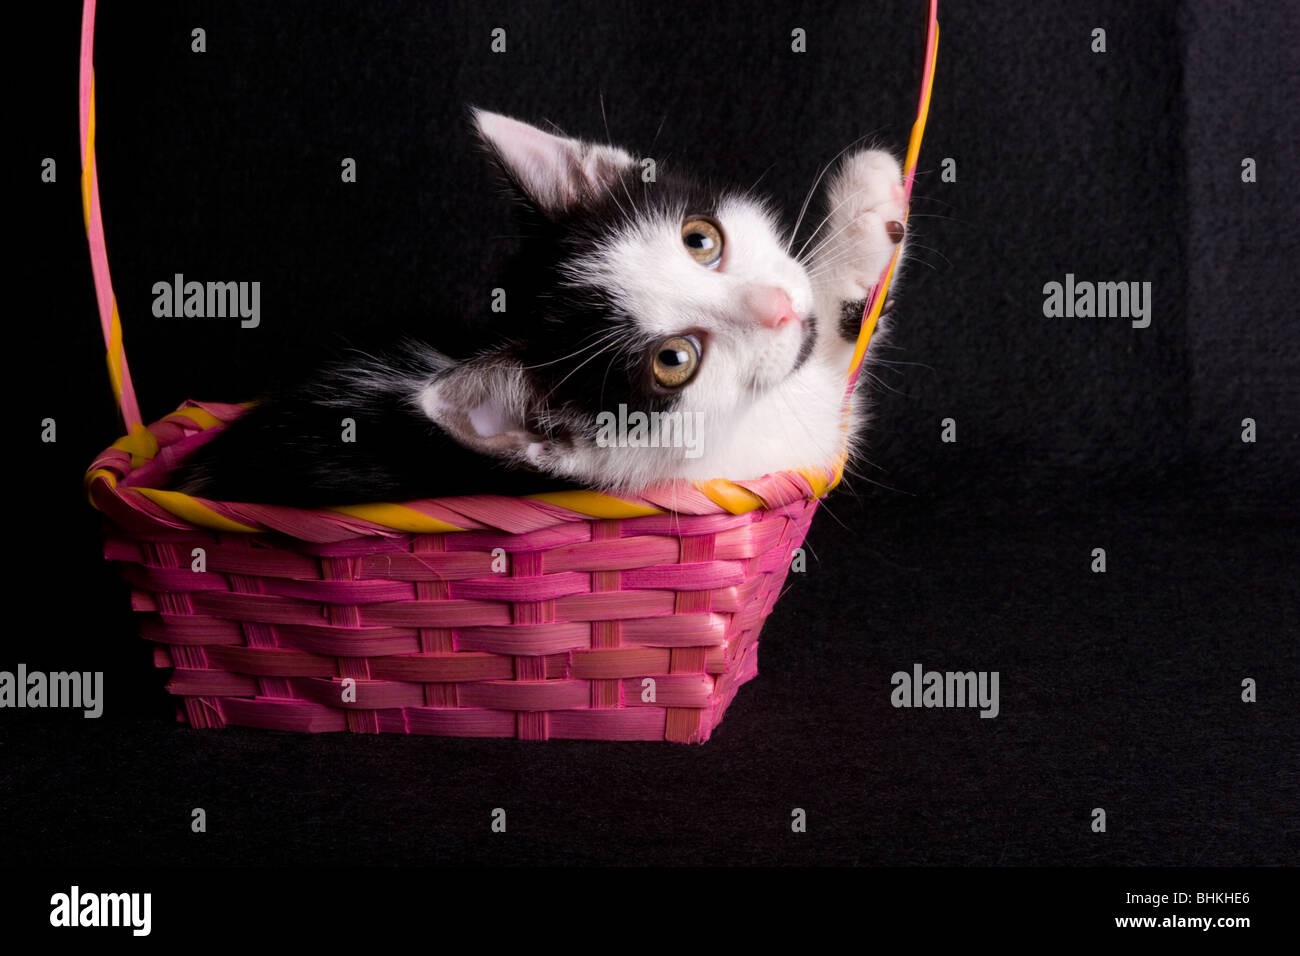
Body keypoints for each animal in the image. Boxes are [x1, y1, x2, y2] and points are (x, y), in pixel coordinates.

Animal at [175, 108, 904, 504]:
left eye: (701, 240)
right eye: (674, 361)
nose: (778, 308)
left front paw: (870, 199)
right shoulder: (753, 462)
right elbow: (833, 379)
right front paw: (864, 214)